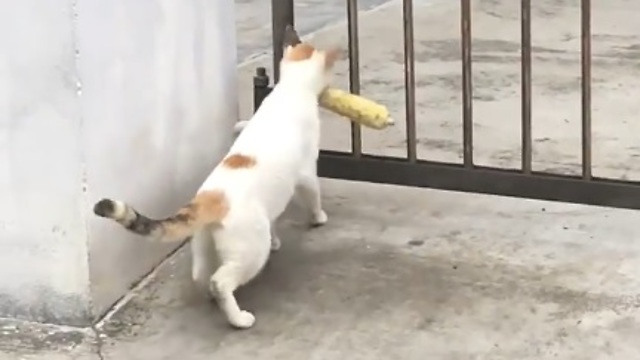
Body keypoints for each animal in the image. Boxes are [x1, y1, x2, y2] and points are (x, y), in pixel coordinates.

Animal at [92, 25, 340, 330]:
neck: (290, 90)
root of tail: (208, 200)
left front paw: (278, 238)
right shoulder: (307, 171)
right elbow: (313, 195)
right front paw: (318, 218)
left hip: (203, 244)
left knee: (202, 275)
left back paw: (213, 299)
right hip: (250, 250)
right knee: (221, 281)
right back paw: (239, 318)